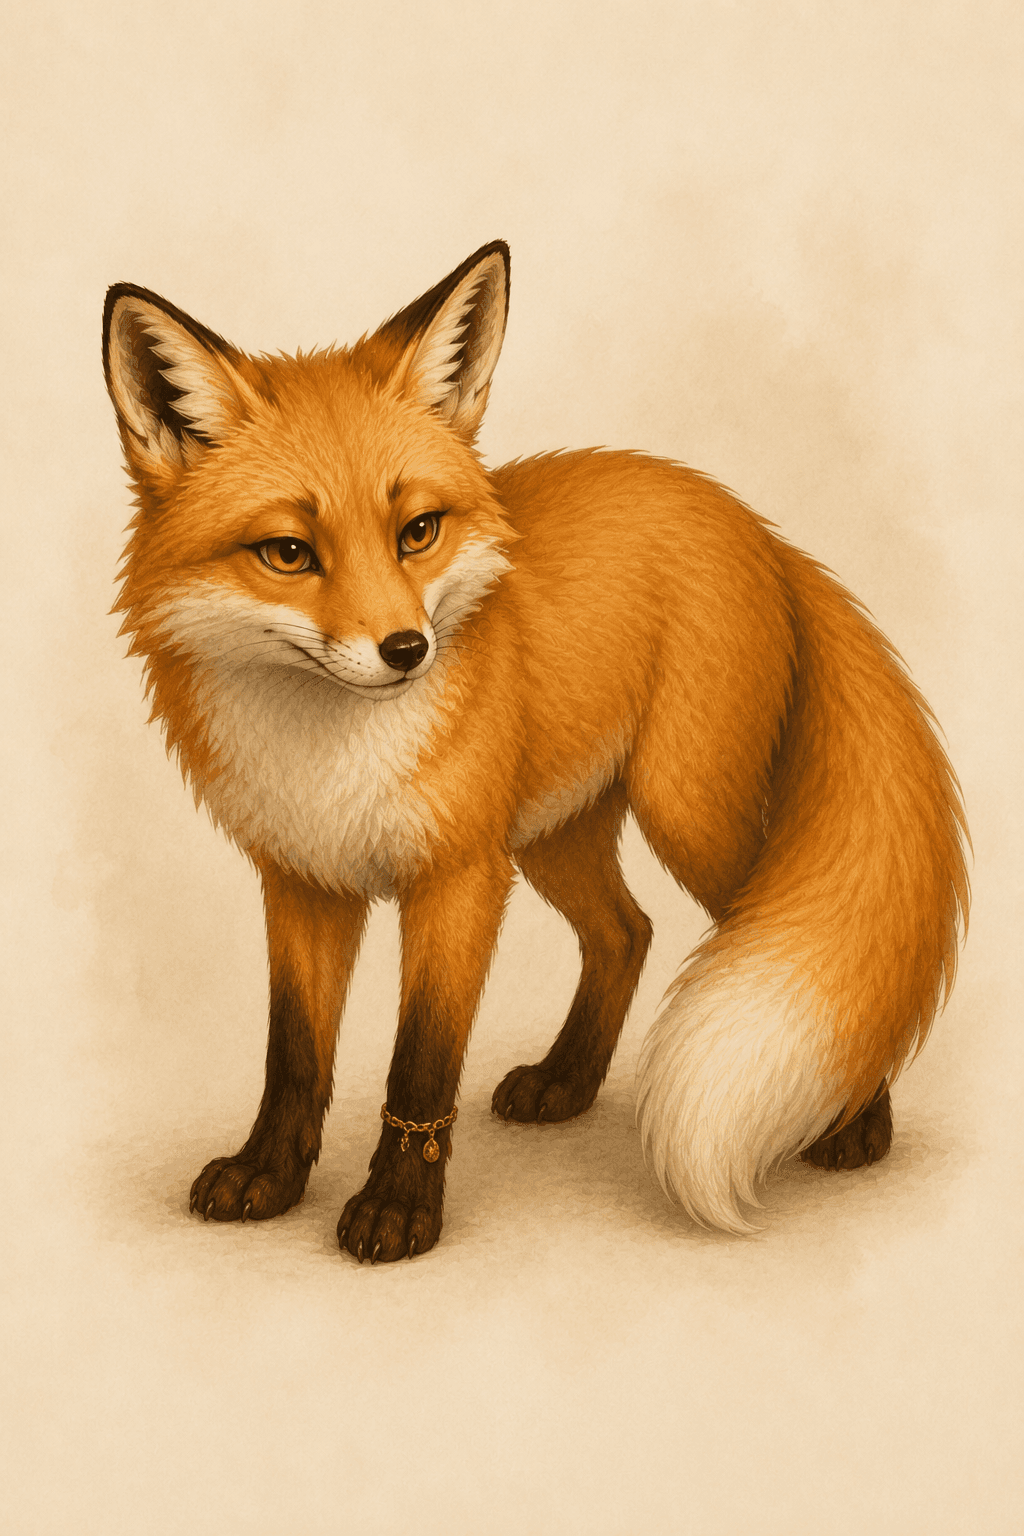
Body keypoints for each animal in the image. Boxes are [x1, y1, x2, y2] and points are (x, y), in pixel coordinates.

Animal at [103, 240, 968, 1262]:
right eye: (287, 553)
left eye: (417, 533)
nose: (408, 649)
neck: (330, 754)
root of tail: (753, 524)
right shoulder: (305, 880)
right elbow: (294, 1053)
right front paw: (270, 1174)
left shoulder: (459, 877)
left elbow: (421, 1062)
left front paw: (399, 1207)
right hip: (554, 834)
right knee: (627, 932)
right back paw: (568, 1080)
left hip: (685, 815)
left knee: (802, 941)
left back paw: (857, 1121)